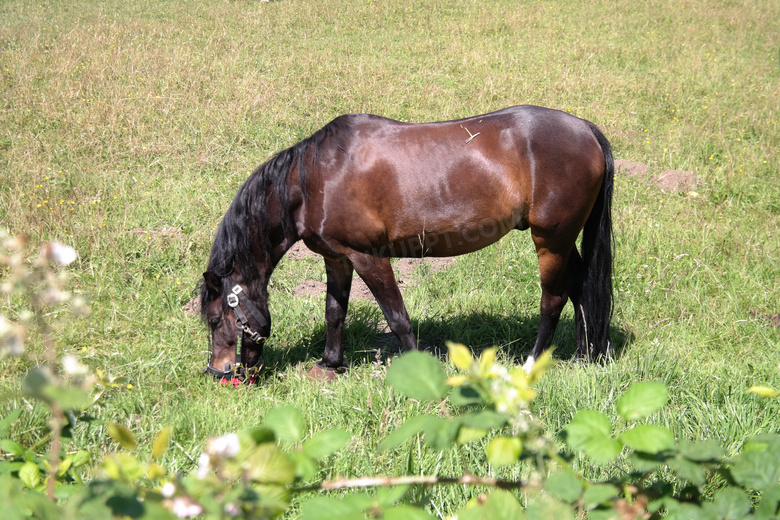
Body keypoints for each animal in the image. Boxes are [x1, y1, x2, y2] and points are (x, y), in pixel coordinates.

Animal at [201, 105, 616, 382]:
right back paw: (584, 357)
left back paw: (531, 363)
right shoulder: (337, 259)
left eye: (215, 318)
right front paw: (330, 364)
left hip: (551, 239)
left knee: (553, 299)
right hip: (564, 239)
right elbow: (334, 312)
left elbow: (397, 318)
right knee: (581, 288)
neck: (316, 178)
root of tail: (586, 130)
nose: (220, 373)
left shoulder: (369, 258)